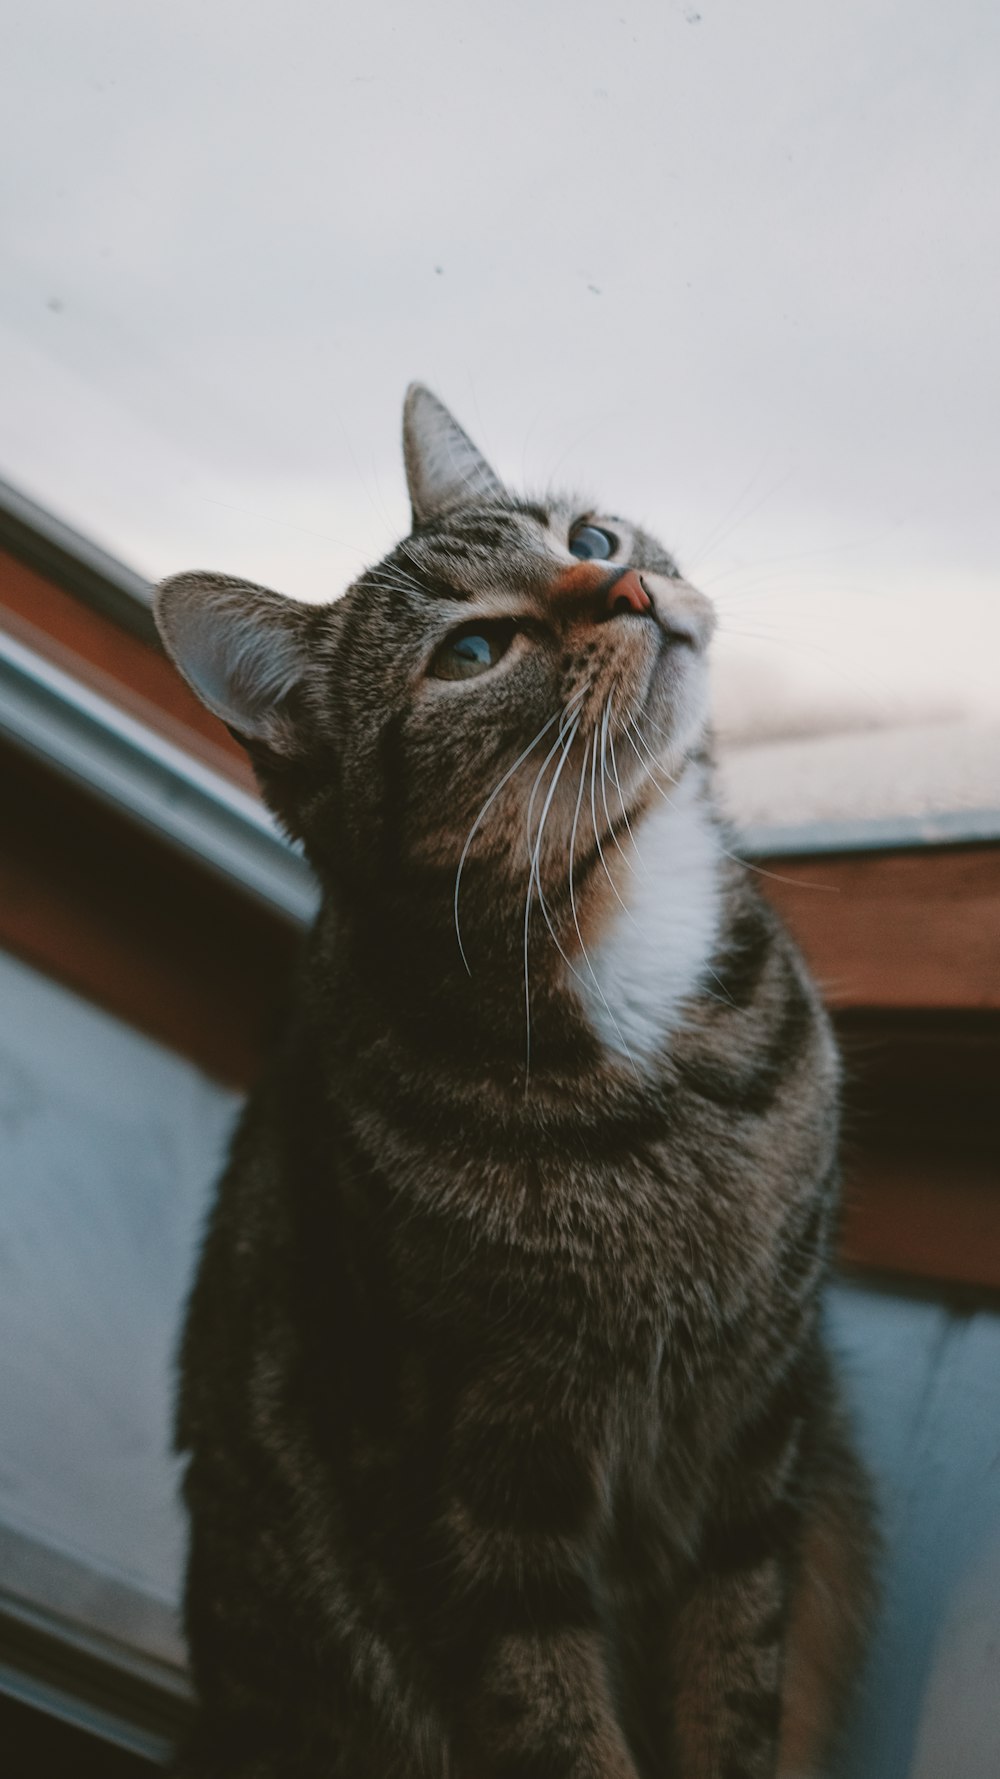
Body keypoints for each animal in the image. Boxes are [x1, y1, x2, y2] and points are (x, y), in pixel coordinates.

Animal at [153, 389, 871, 1779]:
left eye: (587, 535)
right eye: (473, 651)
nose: (632, 584)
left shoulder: (757, 1441)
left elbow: (734, 1676)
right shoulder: (472, 1501)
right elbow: (551, 1720)